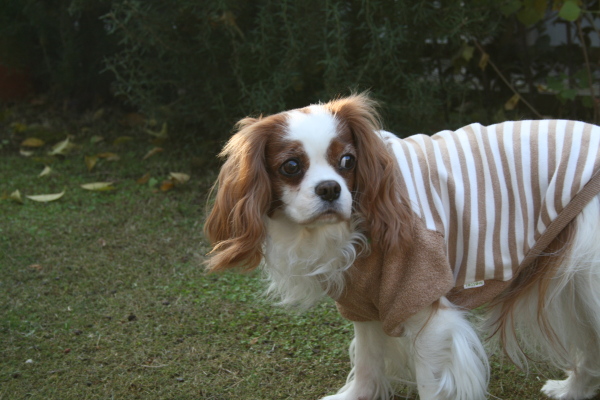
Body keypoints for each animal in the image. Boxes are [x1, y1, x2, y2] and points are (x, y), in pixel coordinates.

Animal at [204, 92, 600, 398]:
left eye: (347, 161)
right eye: (290, 166)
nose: (330, 189)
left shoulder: (425, 303)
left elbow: (429, 382)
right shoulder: (363, 300)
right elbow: (367, 360)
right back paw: (572, 390)